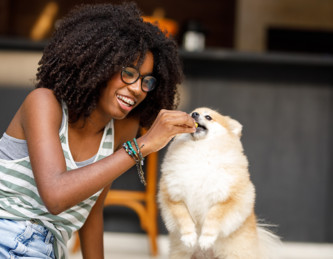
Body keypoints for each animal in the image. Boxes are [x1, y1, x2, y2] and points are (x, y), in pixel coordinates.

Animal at [157, 106, 278, 258]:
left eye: (208, 117)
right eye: (191, 113)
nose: (194, 114)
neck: (199, 149)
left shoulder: (226, 198)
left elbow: (213, 218)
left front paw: (205, 239)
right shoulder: (174, 196)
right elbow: (182, 217)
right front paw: (189, 237)